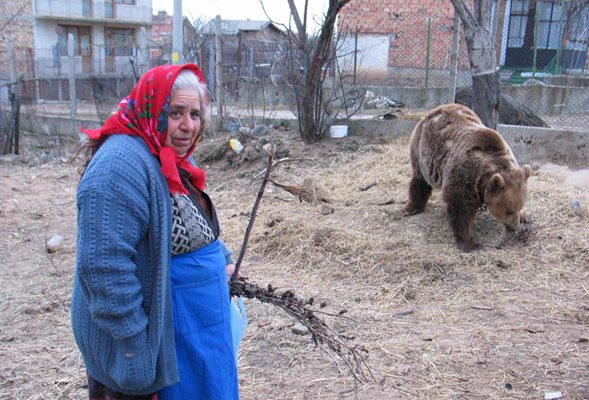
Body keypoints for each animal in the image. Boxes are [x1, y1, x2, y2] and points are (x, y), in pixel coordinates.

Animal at [402, 104, 532, 253]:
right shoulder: (465, 176)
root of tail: (434, 111)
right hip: (421, 150)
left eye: (519, 206)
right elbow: (460, 210)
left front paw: (525, 216)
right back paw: (411, 208)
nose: (515, 226)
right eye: (508, 211)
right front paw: (471, 244)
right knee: (420, 180)